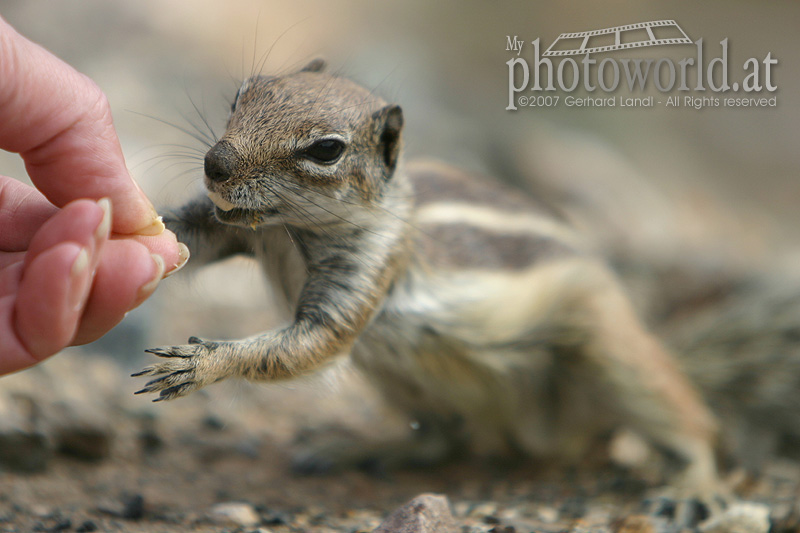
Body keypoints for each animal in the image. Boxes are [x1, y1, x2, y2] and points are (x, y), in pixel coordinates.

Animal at [131, 61, 720, 494]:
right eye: (241, 95)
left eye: (326, 149)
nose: (216, 164)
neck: (287, 231)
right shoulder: (229, 230)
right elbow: (188, 240)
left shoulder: (370, 268)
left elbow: (311, 344)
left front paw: (201, 362)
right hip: (399, 380)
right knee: (441, 441)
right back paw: (363, 449)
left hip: (608, 348)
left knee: (683, 415)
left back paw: (695, 484)